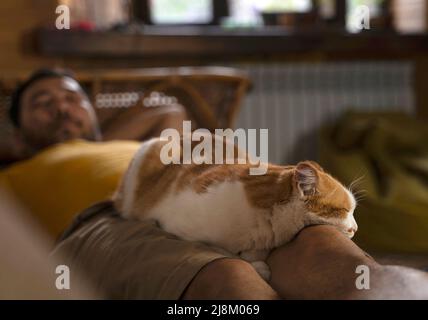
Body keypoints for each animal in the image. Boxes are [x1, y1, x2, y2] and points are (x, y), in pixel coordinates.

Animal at [113, 135, 358, 280]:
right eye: (344, 211)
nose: (356, 228)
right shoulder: (180, 229)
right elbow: (225, 251)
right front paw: (257, 266)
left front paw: (255, 256)